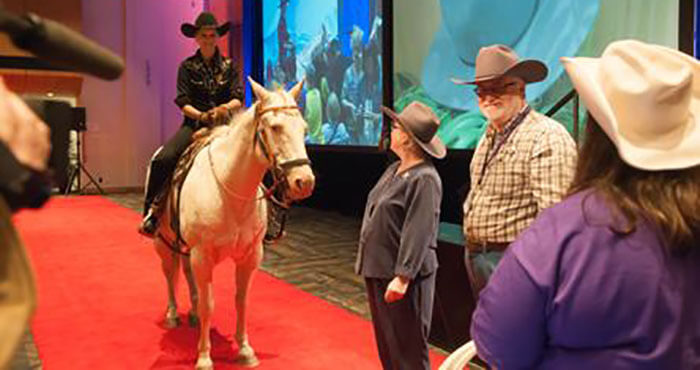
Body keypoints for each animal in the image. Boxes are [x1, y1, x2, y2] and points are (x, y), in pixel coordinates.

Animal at [156, 77, 318, 368]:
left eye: (303, 129)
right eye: (274, 127)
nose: (304, 182)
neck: (230, 190)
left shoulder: (250, 255)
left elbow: (241, 300)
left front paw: (244, 350)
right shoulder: (203, 255)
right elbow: (209, 304)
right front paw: (204, 357)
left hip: (185, 247)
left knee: (185, 274)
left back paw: (192, 314)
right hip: (163, 243)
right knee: (169, 273)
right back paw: (173, 314)